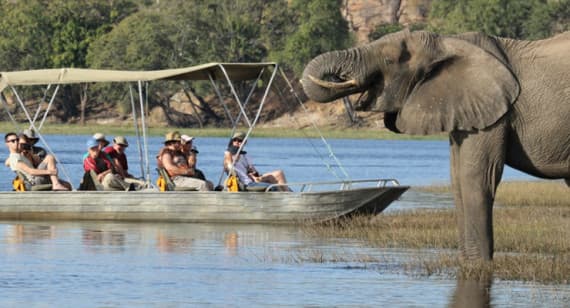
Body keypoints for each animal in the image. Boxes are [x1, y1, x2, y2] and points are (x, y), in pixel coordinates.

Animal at [300, 28, 564, 262]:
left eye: (389, 60)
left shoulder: (495, 111)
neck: (447, 42)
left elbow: (476, 177)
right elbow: (457, 179)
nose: (337, 76)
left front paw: (477, 264)